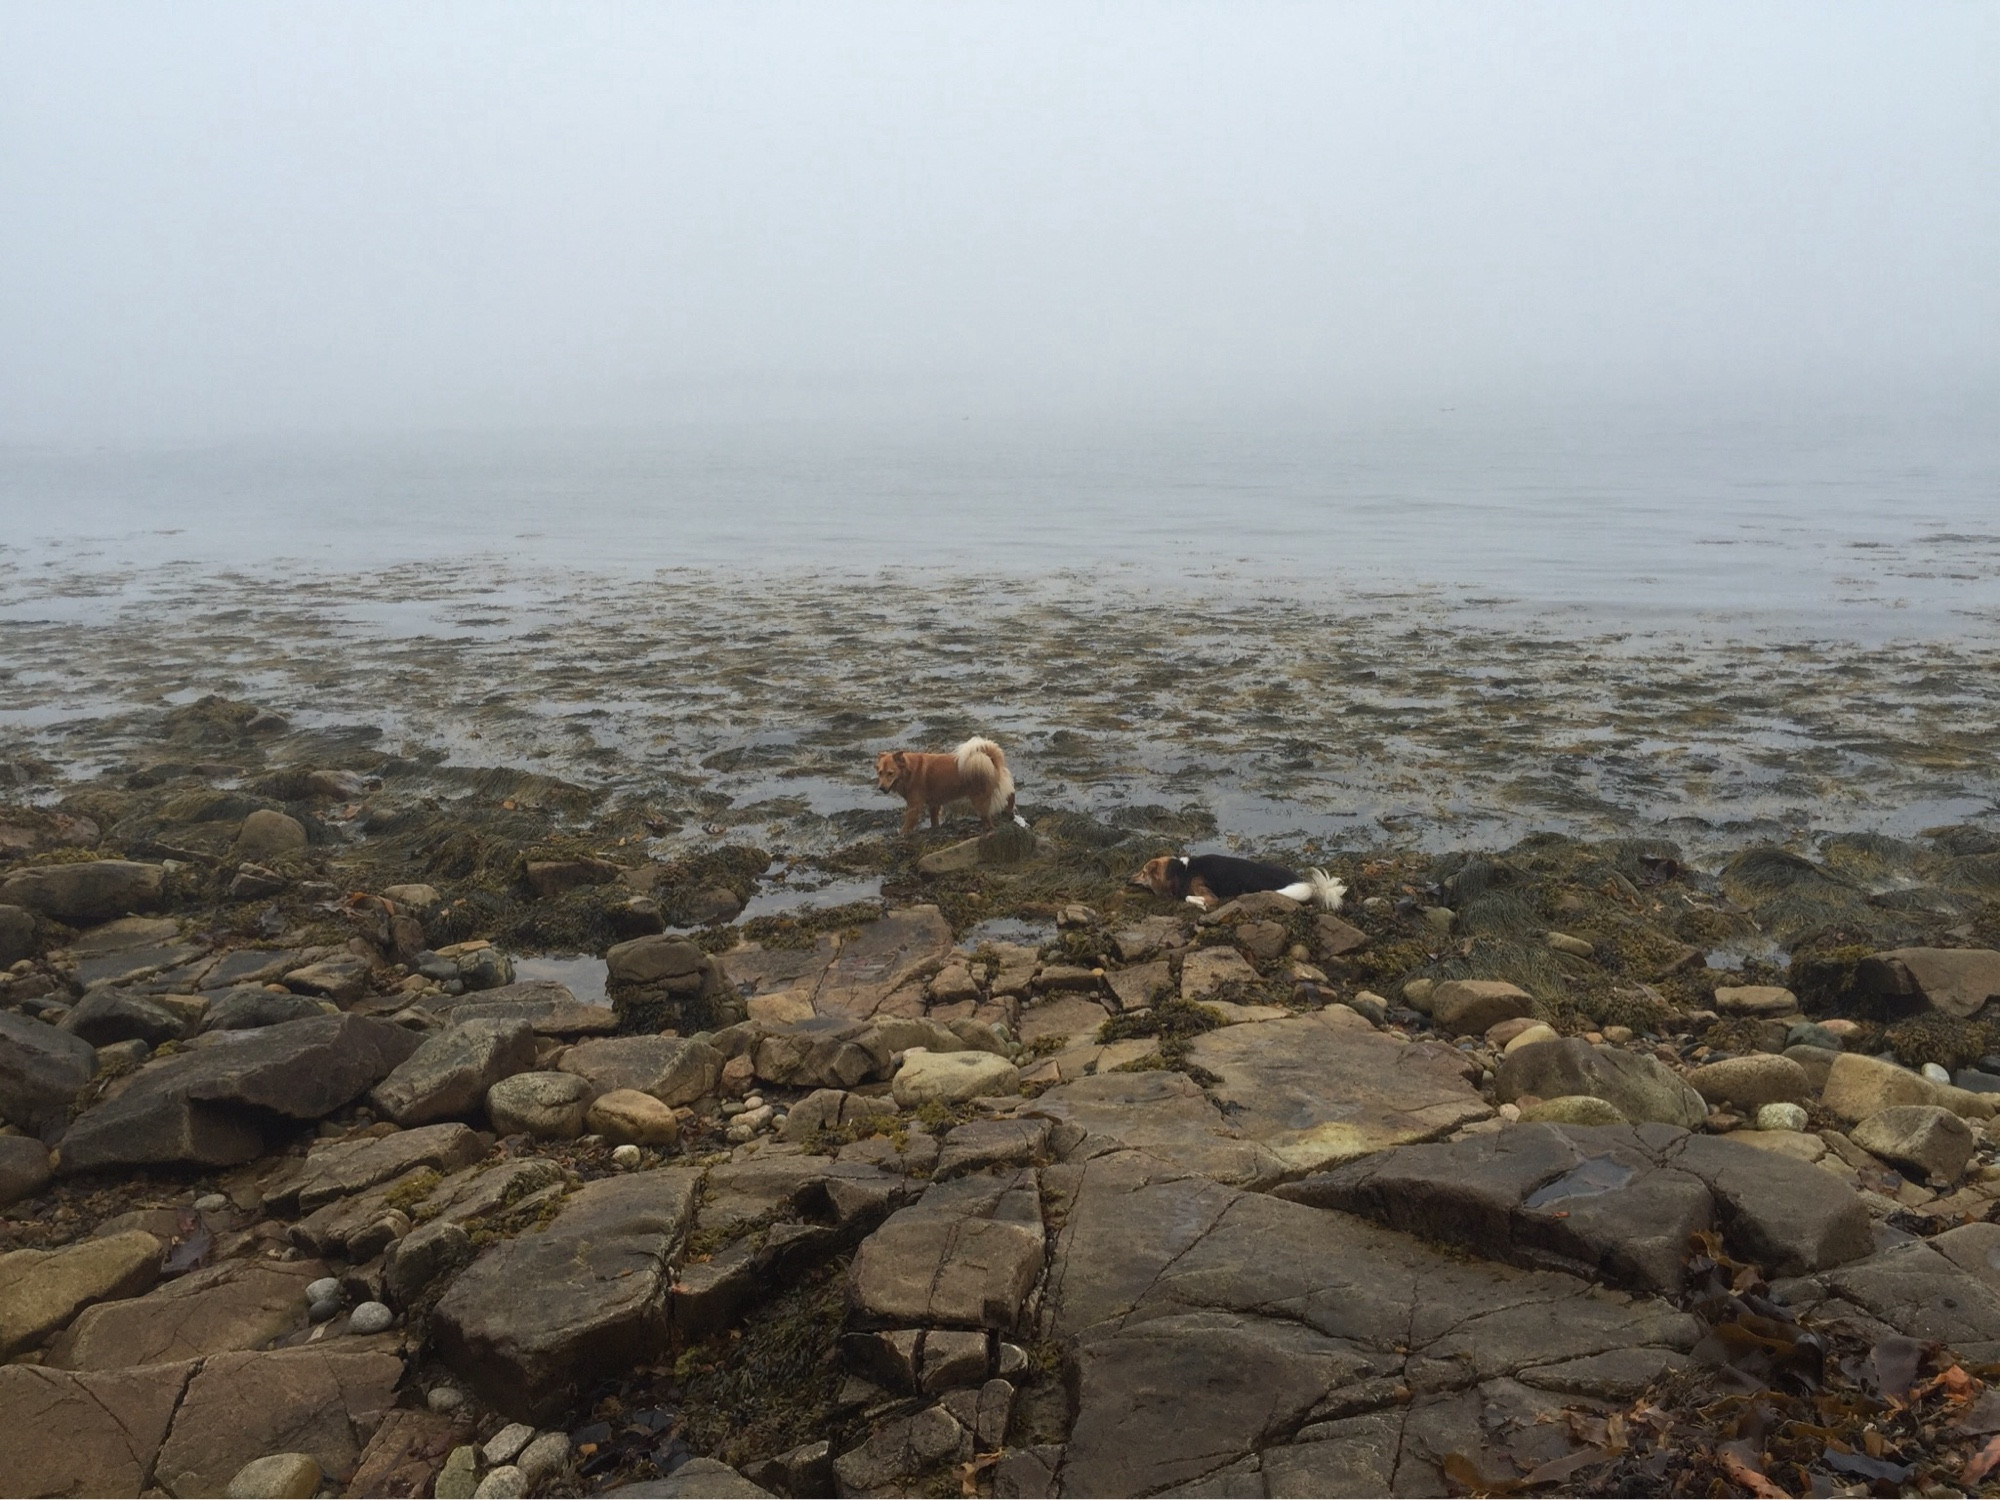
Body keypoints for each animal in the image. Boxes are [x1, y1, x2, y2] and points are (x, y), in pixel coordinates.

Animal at [1128, 856, 1344, 916]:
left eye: (1143, 872)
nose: (1127, 879)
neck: (1181, 871)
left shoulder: (1208, 894)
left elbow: (1190, 897)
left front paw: (1201, 905)